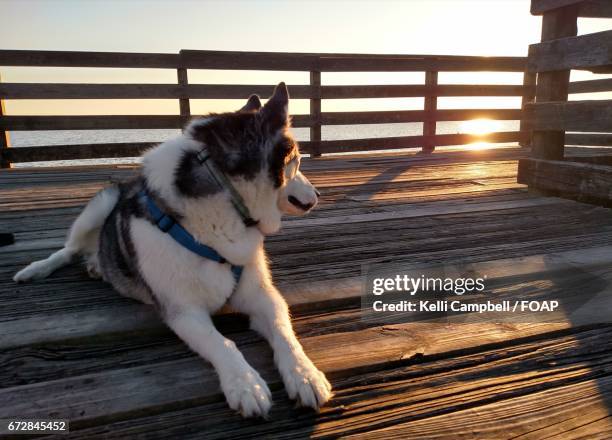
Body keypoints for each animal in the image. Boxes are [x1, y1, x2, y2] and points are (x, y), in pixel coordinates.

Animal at [13, 83, 330, 420]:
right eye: (297, 161)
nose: (318, 193)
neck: (226, 201)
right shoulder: (183, 310)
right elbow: (222, 343)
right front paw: (245, 384)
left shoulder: (262, 295)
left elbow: (284, 333)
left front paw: (305, 374)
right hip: (101, 204)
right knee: (68, 250)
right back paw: (36, 269)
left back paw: (97, 265)